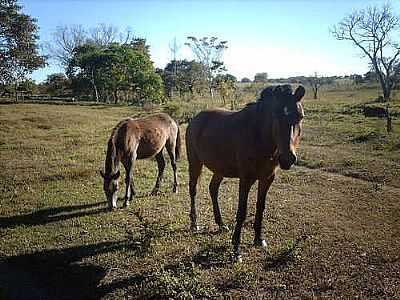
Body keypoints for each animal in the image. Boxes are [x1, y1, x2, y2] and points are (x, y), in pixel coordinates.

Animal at [186, 85, 304, 262]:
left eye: (300, 116)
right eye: (276, 115)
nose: (288, 159)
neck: (259, 135)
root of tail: (195, 119)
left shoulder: (267, 178)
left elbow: (260, 207)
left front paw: (259, 239)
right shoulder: (246, 179)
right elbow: (242, 212)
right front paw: (236, 250)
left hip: (220, 169)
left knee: (213, 189)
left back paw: (221, 224)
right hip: (195, 163)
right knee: (193, 190)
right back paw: (195, 224)